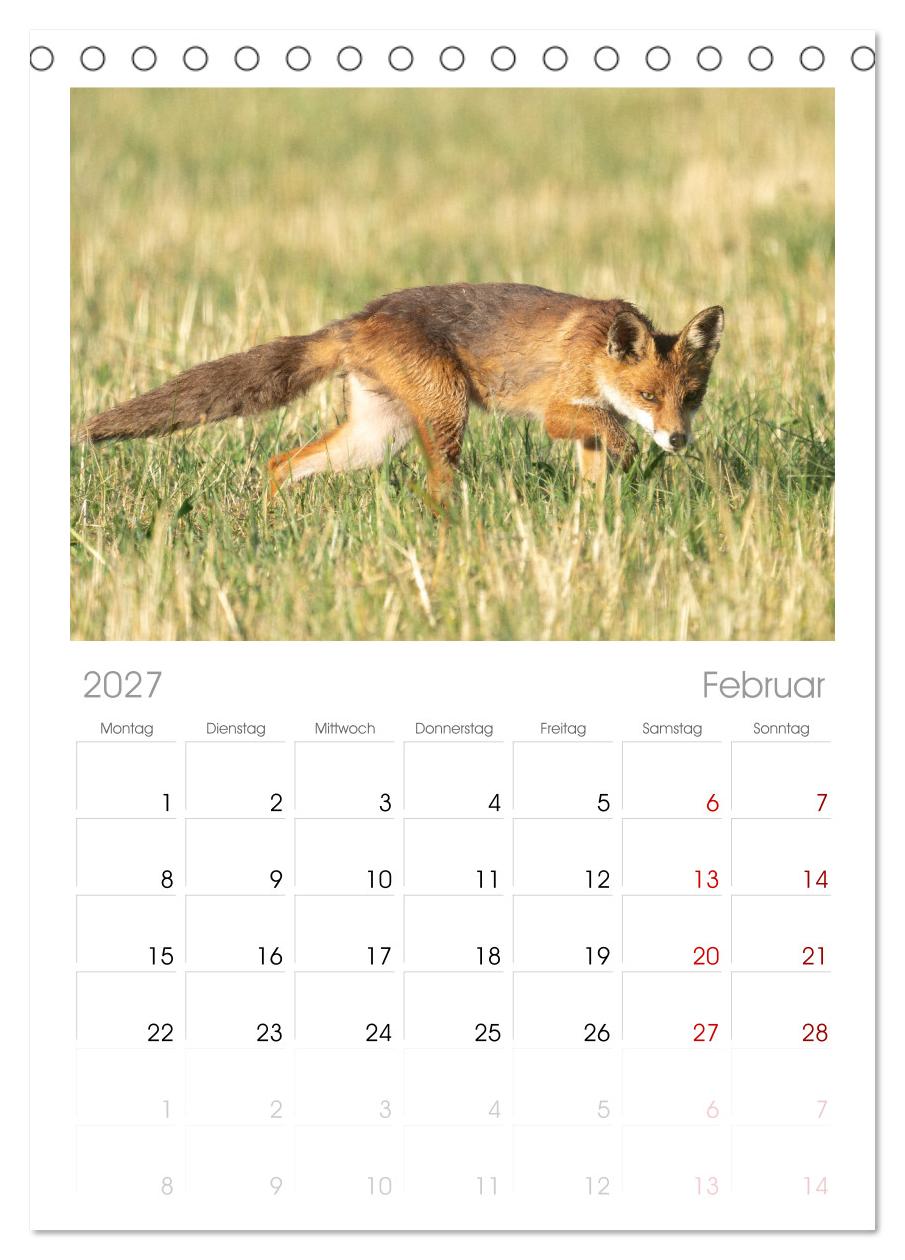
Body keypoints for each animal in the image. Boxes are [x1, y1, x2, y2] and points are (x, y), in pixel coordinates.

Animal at [78, 283, 724, 502]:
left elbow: (594, 484)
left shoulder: (585, 425)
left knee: (280, 463)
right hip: (447, 414)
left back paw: (269, 522)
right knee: (435, 487)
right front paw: (631, 453)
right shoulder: (556, 410)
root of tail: (358, 318)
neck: (595, 353)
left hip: (374, 439)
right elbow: (610, 433)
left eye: (690, 397)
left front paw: (591, 532)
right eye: (648, 397)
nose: (678, 440)